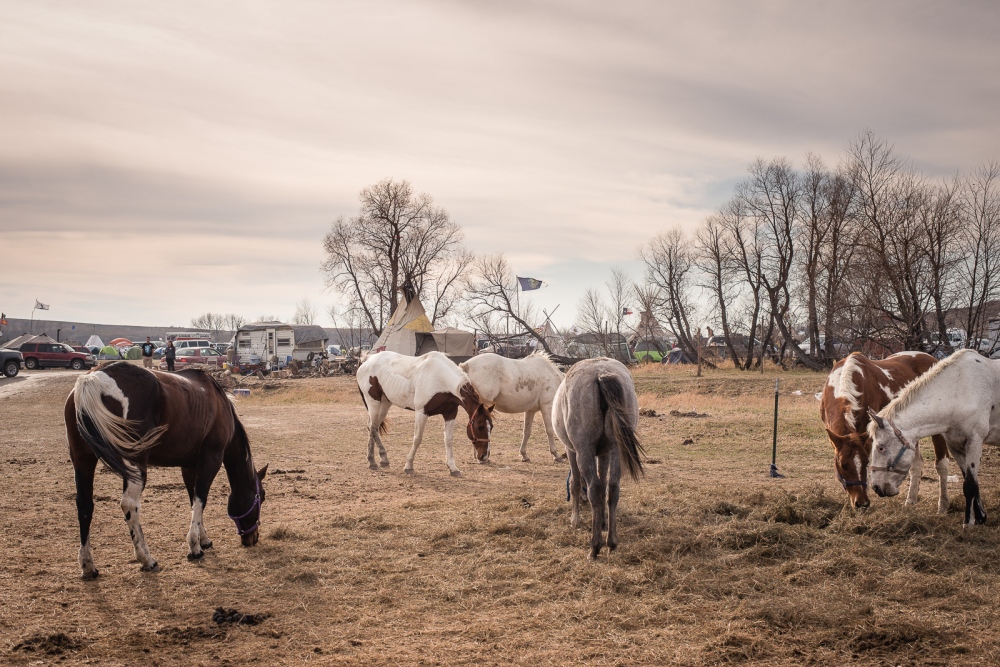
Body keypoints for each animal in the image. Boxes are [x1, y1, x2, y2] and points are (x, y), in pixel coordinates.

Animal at [68, 360, 268, 580]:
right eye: (261, 496)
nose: (253, 538)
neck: (218, 402)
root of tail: (94, 377)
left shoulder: (189, 466)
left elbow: (193, 500)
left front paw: (203, 539)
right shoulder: (212, 459)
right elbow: (201, 499)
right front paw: (194, 546)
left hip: (83, 459)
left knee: (84, 505)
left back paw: (88, 565)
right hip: (134, 463)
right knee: (129, 504)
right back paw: (146, 558)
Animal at [358, 352, 494, 478]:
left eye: (491, 427)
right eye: (479, 427)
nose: (484, 455)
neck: (441, 379)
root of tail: (367, 360)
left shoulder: (450, 414)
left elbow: (448, 440)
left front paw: (452, 467)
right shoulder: (421, 412)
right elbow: (417, 439)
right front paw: (409, 465)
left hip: (385, 403)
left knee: (373, 427)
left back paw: (380, 459)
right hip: (373, 402)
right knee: (373, 427)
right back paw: (374, 461)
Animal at [552, 358, 644, 560]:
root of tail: (601, 374)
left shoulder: (572, 451)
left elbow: (576, 483)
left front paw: (575, 519)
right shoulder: (605, 453)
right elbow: (603, 483)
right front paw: (602, 522)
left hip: (584, 451)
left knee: (594, 488)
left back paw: (594, 547)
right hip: (617, 449)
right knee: (613, 487)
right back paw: (611, 542)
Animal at [816, 350, 948, 512]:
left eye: (866, 462)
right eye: (843, 465)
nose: (861, 502)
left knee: (942, 465)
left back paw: (942, 506)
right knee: (917, 465)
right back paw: (911, 500)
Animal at [868, 352, 1000, 528]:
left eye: (881, 447)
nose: (876, 487)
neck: (959, 391)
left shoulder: (975, 442)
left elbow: (970, 485)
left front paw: (968, 523)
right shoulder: (955, 446)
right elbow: (970, 480)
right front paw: (980, 517)